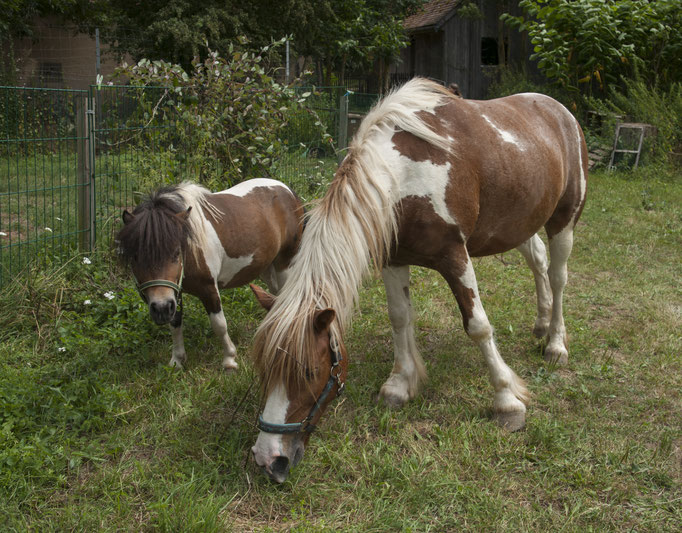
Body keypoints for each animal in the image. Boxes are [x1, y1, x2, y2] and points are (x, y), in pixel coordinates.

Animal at [117, 179, 302, 370]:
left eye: (176, 252)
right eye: (135, 257)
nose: (160, 309)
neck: (190, 247)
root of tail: (287, 190)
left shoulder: (208, 288)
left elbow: (219, 324)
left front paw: (229, 360)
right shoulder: (174, 292)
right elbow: (175, 323)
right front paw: (177, 360)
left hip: (285, 263)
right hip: (266, 266)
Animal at [248, 79, 584, 482]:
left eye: (310, 371)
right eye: (264, 369)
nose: (268, 458)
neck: (401, 176)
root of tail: (557, 109)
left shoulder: (455, 255)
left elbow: (478, 326)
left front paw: (506, 401)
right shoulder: (394, 259)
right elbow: (400, 317)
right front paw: (400, 384)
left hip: (564, 220)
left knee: (558, 276)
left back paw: (555, 344)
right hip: (520, 223)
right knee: (537, 262)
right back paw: (540, 323)